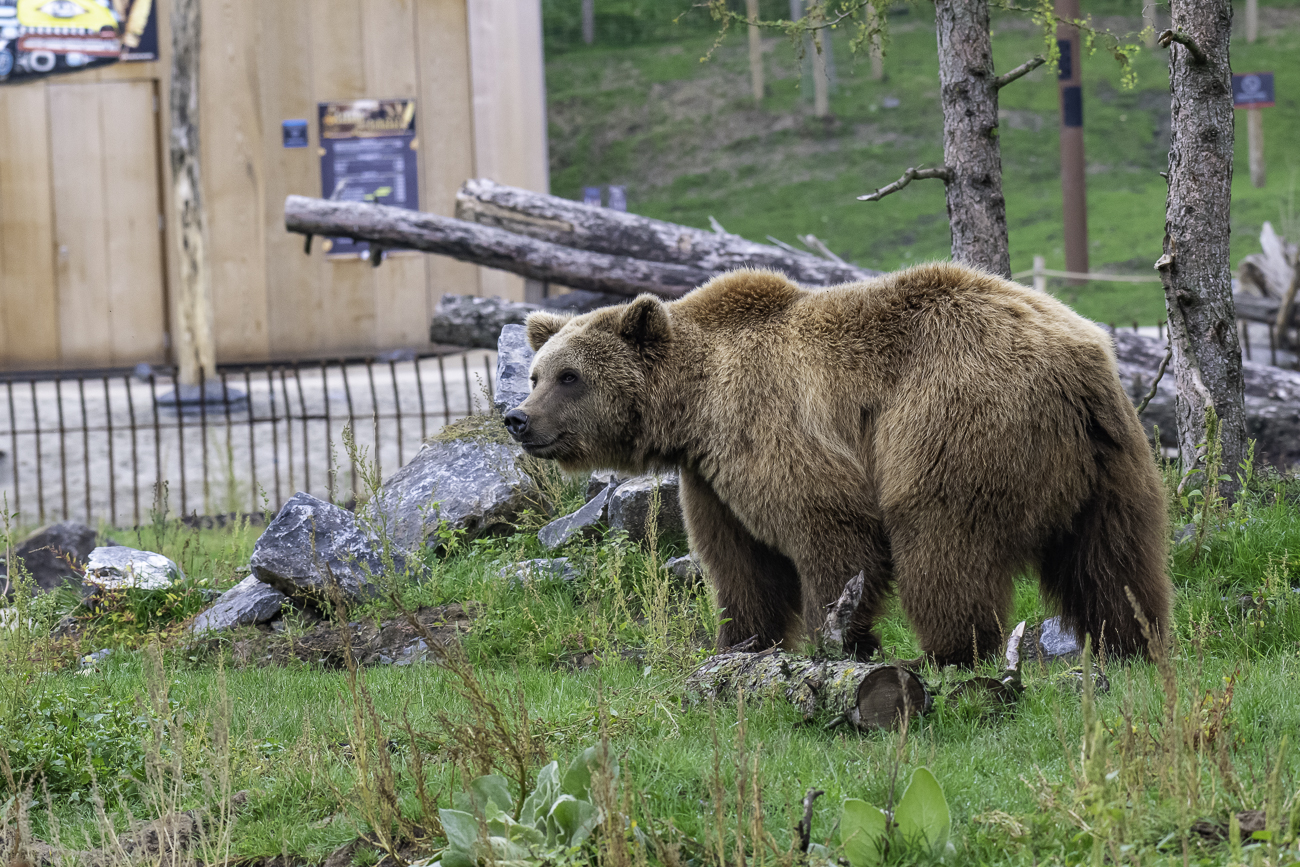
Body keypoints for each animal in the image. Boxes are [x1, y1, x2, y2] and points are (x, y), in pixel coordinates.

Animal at [503, 263, 1172, 666]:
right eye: (536, 374)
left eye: (570, 376)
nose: (517, 418)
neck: (694, 406)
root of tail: (1075, 359)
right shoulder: (710, 480)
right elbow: (741, 566)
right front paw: (738, 644)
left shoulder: (768, 424)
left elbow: (829, 530)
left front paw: (841, 640)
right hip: (1111, 456)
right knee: (1114, 556)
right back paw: (1132, 641)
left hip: (954, 421)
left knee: (940, 538)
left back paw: (950, 652)